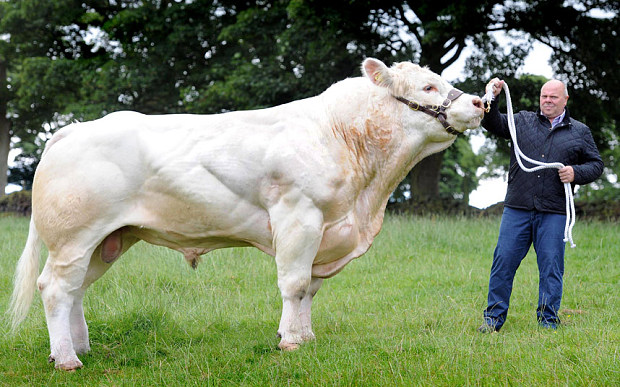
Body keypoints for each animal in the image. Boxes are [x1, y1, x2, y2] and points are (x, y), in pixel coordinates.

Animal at [8, 56, 484, 370]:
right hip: (73, 236)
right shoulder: (299, 216)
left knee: (75, 290)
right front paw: (290, 341)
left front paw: (305, 336)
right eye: (427, 87)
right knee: (55, 288)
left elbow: (310, 288)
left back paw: (77, 347)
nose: (480, 102)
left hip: (109, 238)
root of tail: (74, 129)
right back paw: (67, 359)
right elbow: (294, 284)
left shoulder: (325, 233)